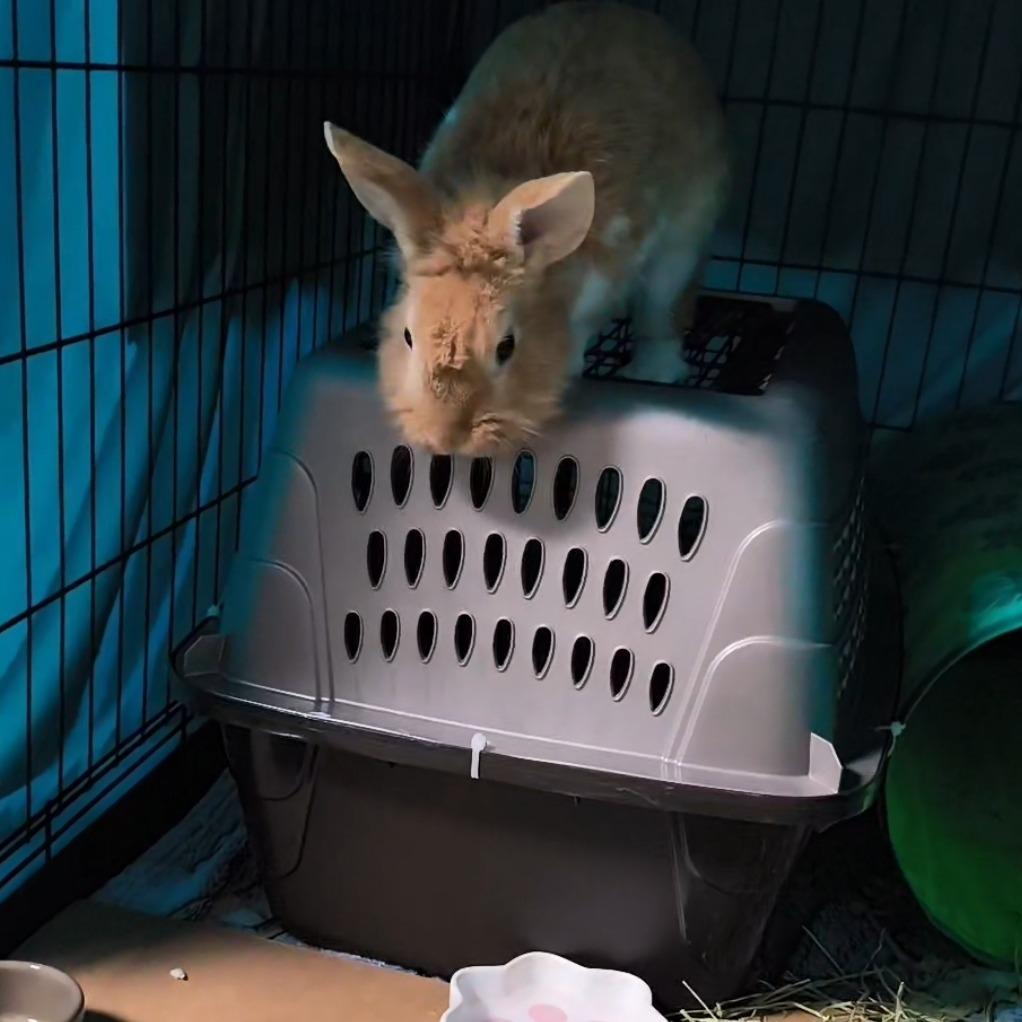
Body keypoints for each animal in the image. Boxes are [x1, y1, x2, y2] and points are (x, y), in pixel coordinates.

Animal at [324, 1, 729, 456]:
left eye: (507, 347)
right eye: (409, 336)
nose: (445, 439)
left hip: (682, 246)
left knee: (662, 312)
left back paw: (654, 371)